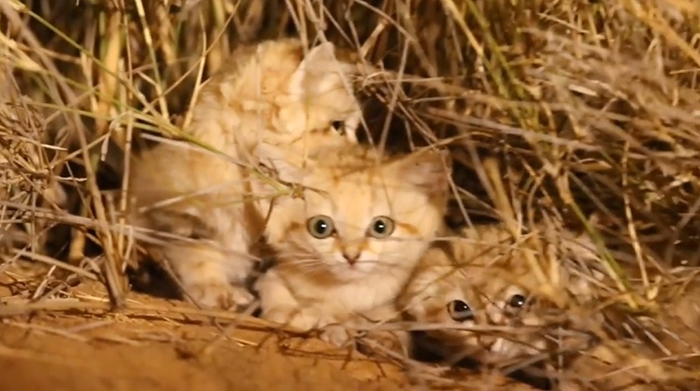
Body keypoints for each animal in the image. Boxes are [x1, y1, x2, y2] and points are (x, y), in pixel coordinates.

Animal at [254, 142, 452, 348]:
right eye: (320, 227)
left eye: (381, 227)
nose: (351, 256)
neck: (346, 294)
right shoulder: (273, 275)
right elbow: (273, 286)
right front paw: (293, 314)